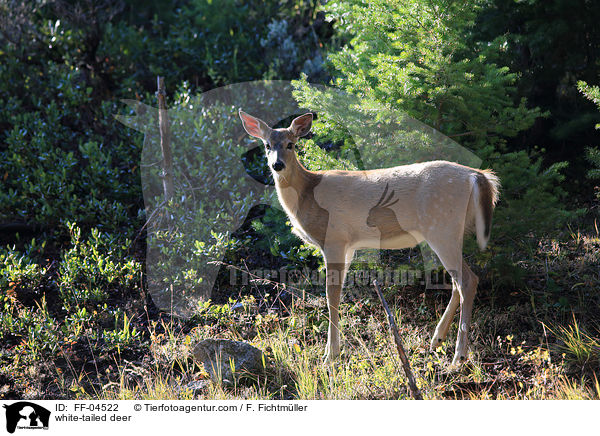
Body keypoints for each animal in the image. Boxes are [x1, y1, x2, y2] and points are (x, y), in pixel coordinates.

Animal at [239, 109, 502, 364]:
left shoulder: (334, 238)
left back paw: (459, 356)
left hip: (443, 227)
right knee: (458, 282)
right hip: (445, 231)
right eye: (267, 145)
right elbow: (338, 292)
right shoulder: (348, 245)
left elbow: (331, 295)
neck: (307, 194)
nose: (277, 165)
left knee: (468, 281)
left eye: (291, 144)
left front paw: (330, 355)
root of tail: (477, 176)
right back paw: (436, 340)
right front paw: (333, 351)